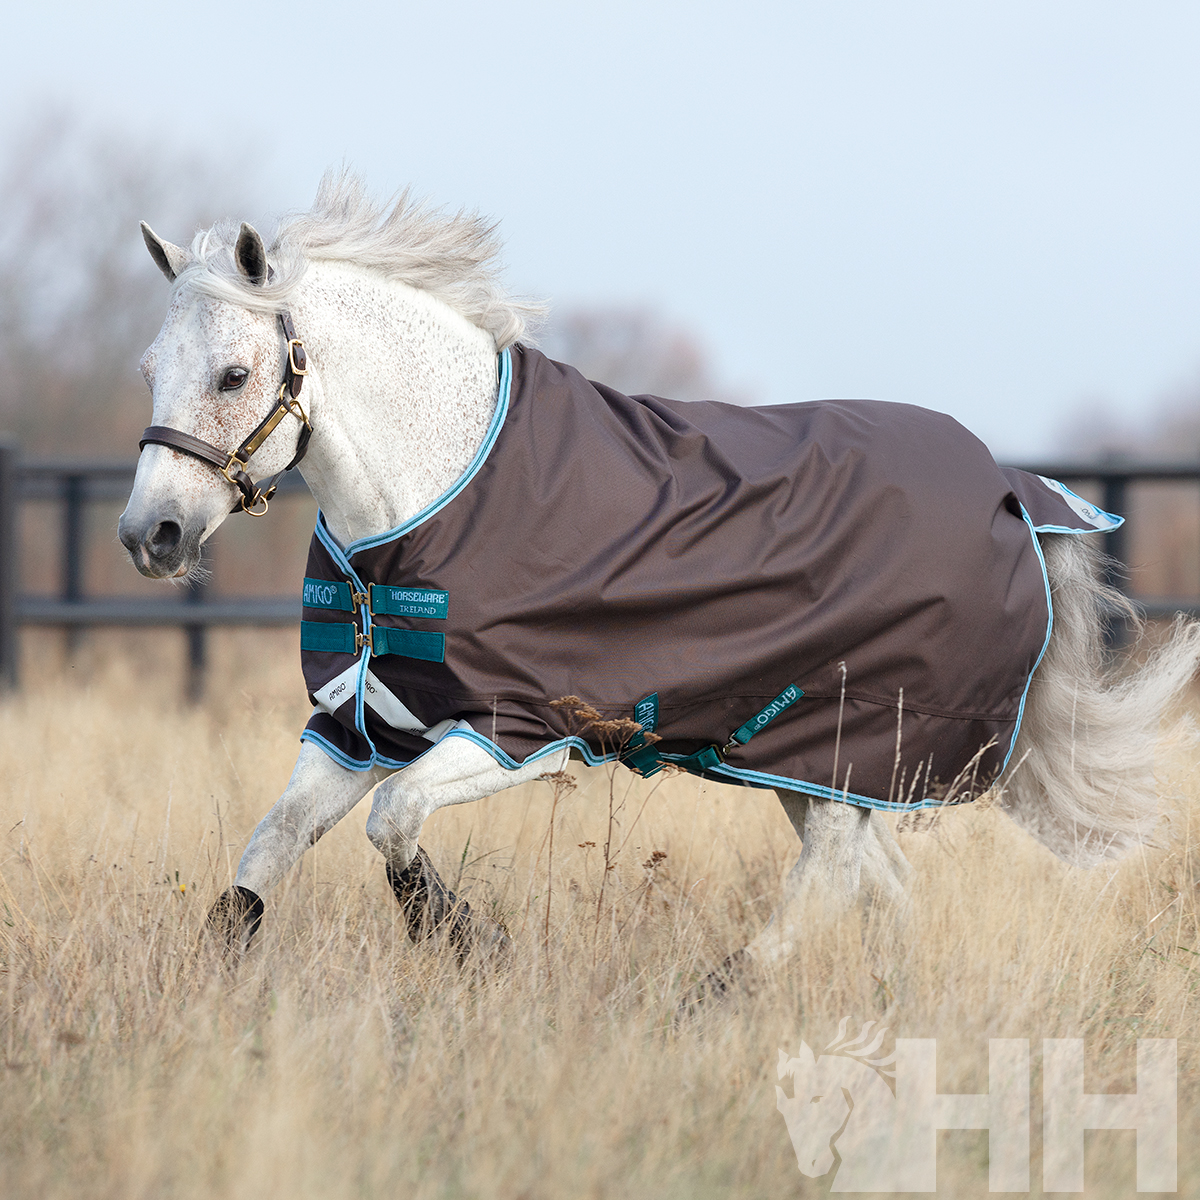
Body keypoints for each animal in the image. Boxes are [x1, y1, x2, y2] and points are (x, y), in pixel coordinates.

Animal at [119, 173, 1200, 991]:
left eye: (232, 375)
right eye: (149, 368)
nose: (149, 535)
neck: (439, 497)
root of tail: (1017, 493)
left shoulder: (520, 732)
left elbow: (395, 827)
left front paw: (470, 942)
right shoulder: (357, 726)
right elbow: (263, 857)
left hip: (847, 742)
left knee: (833, 876)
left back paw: (722, 990)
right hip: (803, 759)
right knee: (873, 878)